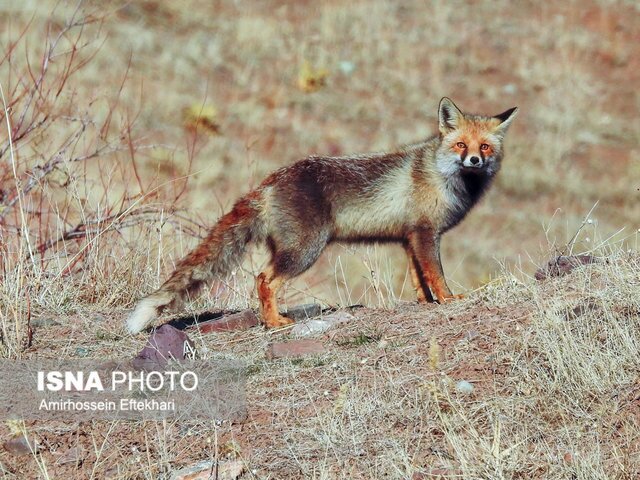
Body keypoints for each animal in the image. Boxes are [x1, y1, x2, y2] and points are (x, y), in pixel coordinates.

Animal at [125, 97, 516, 334]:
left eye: (484, 147)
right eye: (460, 145)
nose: (474, 160)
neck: (440, 175)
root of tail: (268, 182)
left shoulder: (409, 237)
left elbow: (420, 280)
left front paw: (426, 303)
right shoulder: (425, 233)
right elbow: (437, 275)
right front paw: (449, 301)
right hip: (305, 251)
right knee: (264, 279)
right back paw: (274, 322)